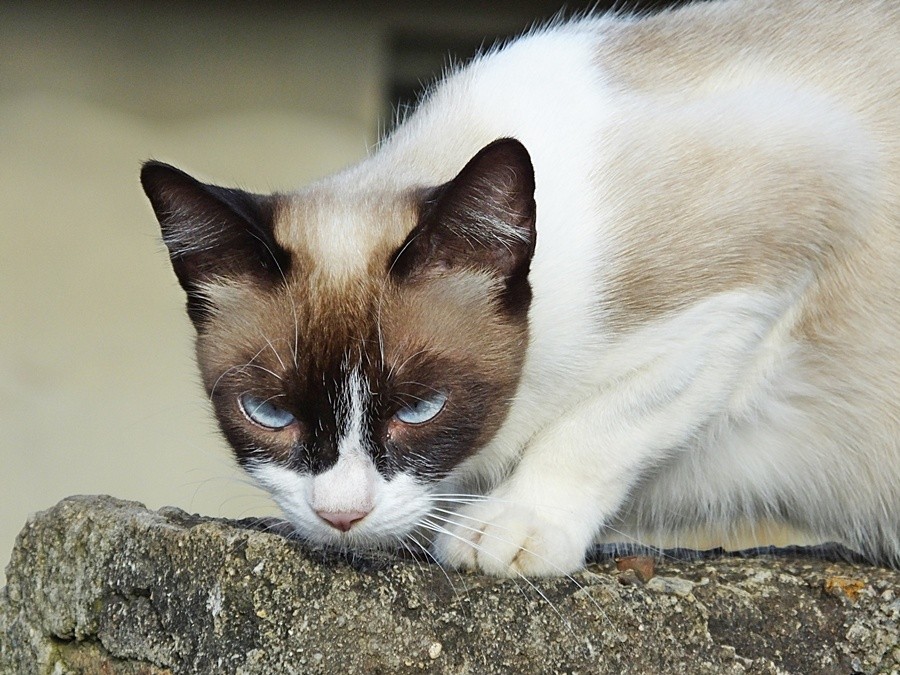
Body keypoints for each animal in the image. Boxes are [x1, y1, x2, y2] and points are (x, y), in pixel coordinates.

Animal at [137, 0, 896, 580]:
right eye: (269, 414)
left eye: (422, 409)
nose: (341, 515)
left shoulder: (752, 279)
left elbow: (595, 428)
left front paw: (505, 530)